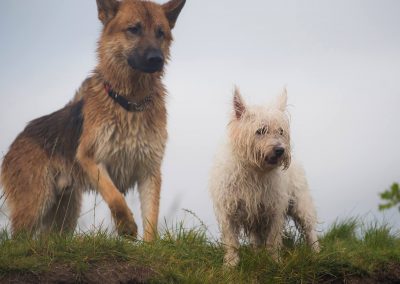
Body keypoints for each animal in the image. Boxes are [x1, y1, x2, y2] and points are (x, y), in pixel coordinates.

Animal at [0, 0, 186, 240]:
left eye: (160, 33)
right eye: (134, 29)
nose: (156, 59)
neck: (130, 104)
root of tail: (20, 137)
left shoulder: (149, 171)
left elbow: (151, 218)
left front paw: (150, 245)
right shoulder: (91, 159)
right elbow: (115, 196)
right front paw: (126, 226)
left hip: (66, 216)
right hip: (35, 205)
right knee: (18, 240)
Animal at [209, 88, 318, 266]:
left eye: (281, 131)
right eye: (260, 131)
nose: (280, 150)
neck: (255, 171)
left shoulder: (274, 208)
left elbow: (273, 239)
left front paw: (274, 261)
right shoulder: (229, 209)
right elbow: (232, 241)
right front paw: (231, 264)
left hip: (301, 203)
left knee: (310, 230)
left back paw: (316, 252)